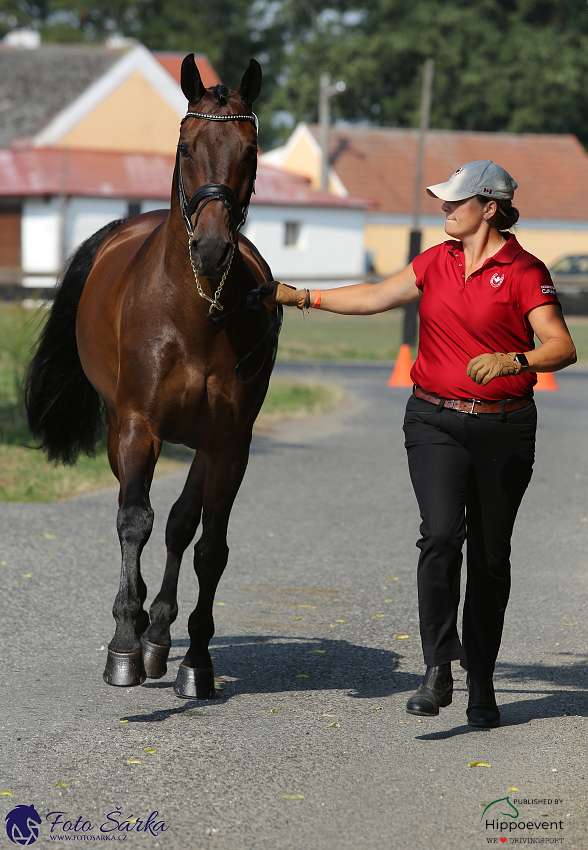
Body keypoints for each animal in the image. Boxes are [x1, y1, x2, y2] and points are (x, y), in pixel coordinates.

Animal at [25, 56, 278, 700]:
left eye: (250, 151)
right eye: (186, 147)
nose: (211, 248)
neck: (196, 316)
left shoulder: (229, 444)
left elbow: (209, 544)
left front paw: (196, 659)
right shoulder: (140, 426)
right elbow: (134, 519)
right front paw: (123, 641)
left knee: (184, 524)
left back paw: (161, 632)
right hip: (122, 427)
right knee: (134, 510)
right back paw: (138, 621)